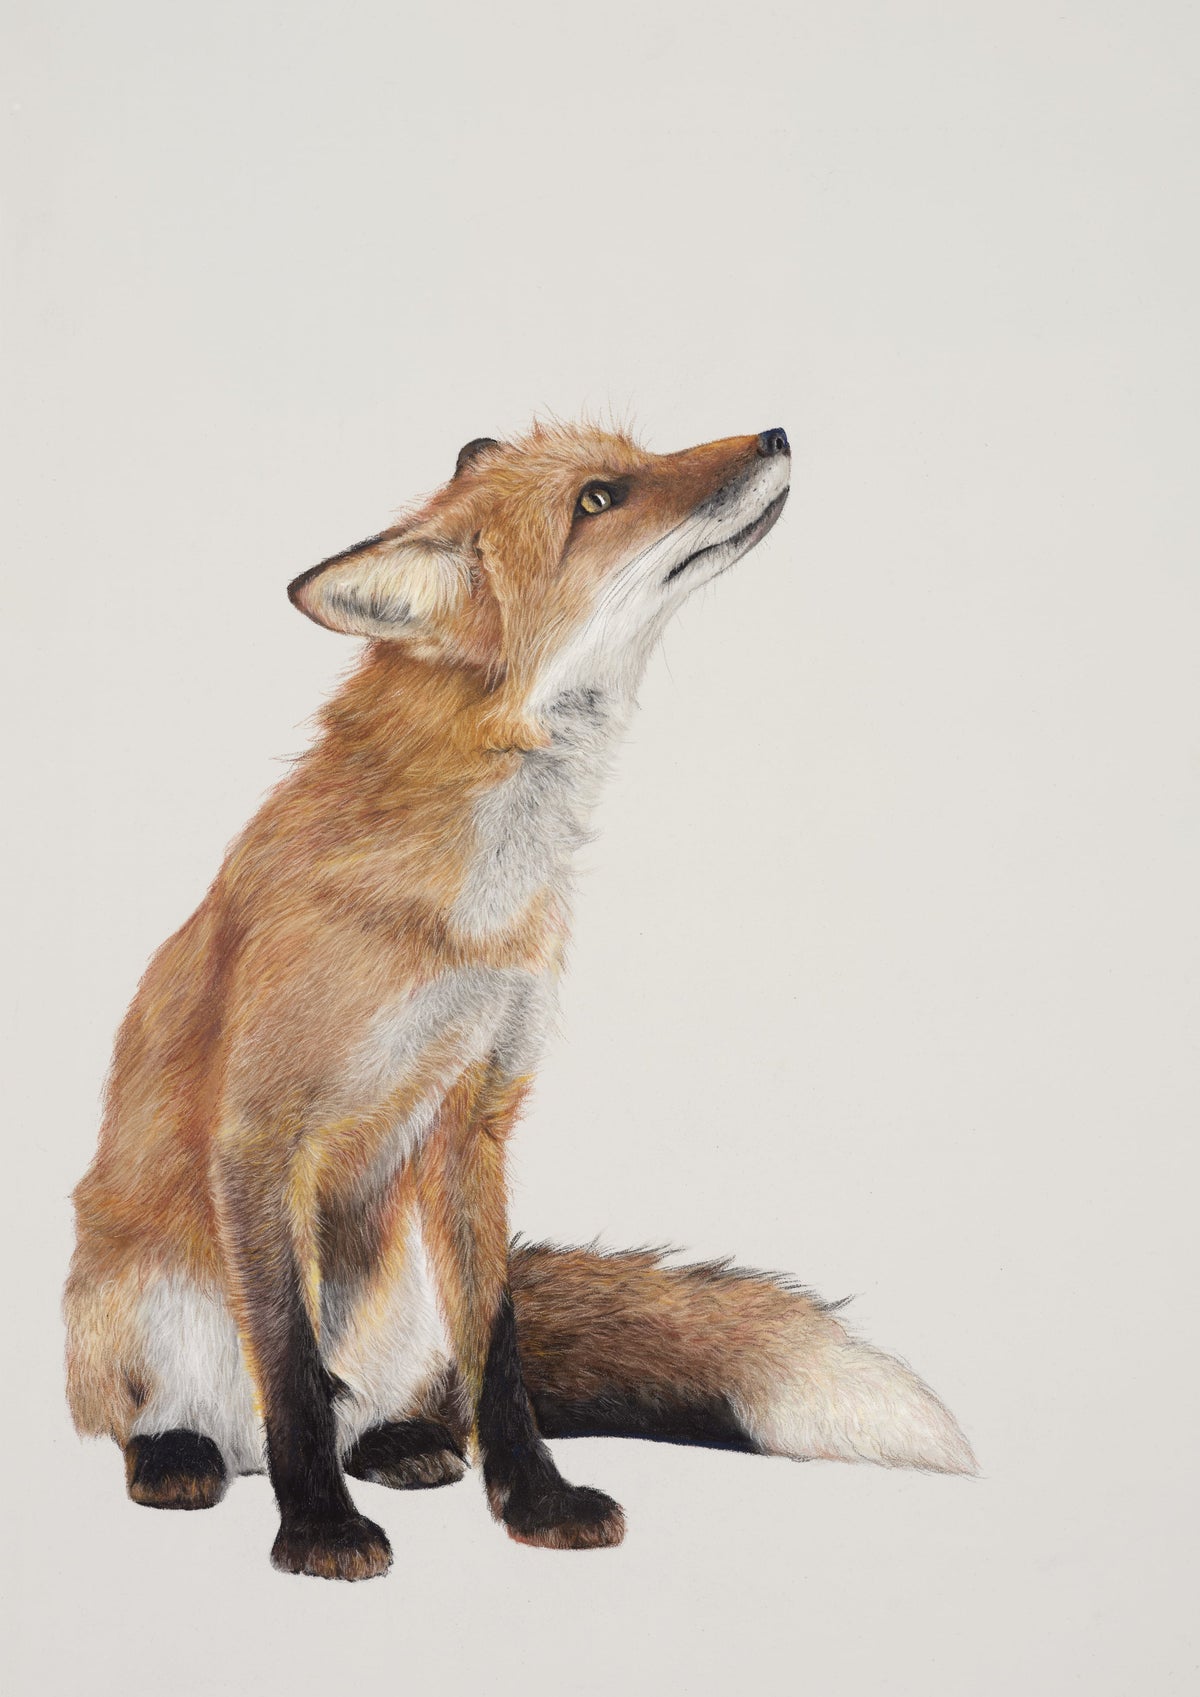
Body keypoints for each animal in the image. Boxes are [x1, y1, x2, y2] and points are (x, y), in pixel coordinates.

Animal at [65, 419, 975, 1581]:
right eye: (598, 498)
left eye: (633, 462)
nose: (776, 431)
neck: (471, 907)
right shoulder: (258, 1130)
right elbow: (291, 1365)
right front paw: (318, 1530)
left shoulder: (476, 1114)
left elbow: (497, 1353)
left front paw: (535, 1501)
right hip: (135, 1297)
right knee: (189, 1414)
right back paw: (183, 1456)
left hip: (402, 1282)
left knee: (399, 1396)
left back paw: (400, 1443)